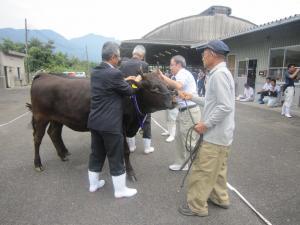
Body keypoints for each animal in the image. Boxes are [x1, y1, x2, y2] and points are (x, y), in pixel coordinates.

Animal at [27, 72, 175, 181]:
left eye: (166, 84)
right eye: (154, 87)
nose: (174, 100)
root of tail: (44, 75)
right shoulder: (120, 127)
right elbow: (126, 151)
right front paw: (130, 173)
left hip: (57, 119)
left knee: (54, 133)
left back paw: (63, 154)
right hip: (41, 117)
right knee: (37, 138)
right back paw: (38, 164)